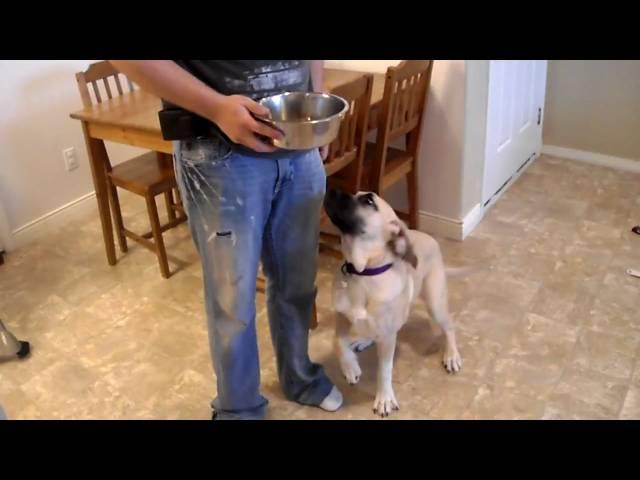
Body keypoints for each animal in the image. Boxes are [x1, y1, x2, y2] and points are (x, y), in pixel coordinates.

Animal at [324, 190, 464, 416]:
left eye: (368, 200)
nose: (331, 189)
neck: (364, 273)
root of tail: (427, 237)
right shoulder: (342, 318)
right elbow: (337, 342)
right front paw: (350, 367)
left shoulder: (389, 337)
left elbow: (384, 370)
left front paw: (384, 398)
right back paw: (363, 341)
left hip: (435, 304)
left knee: (449, 327)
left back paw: (451, 355)